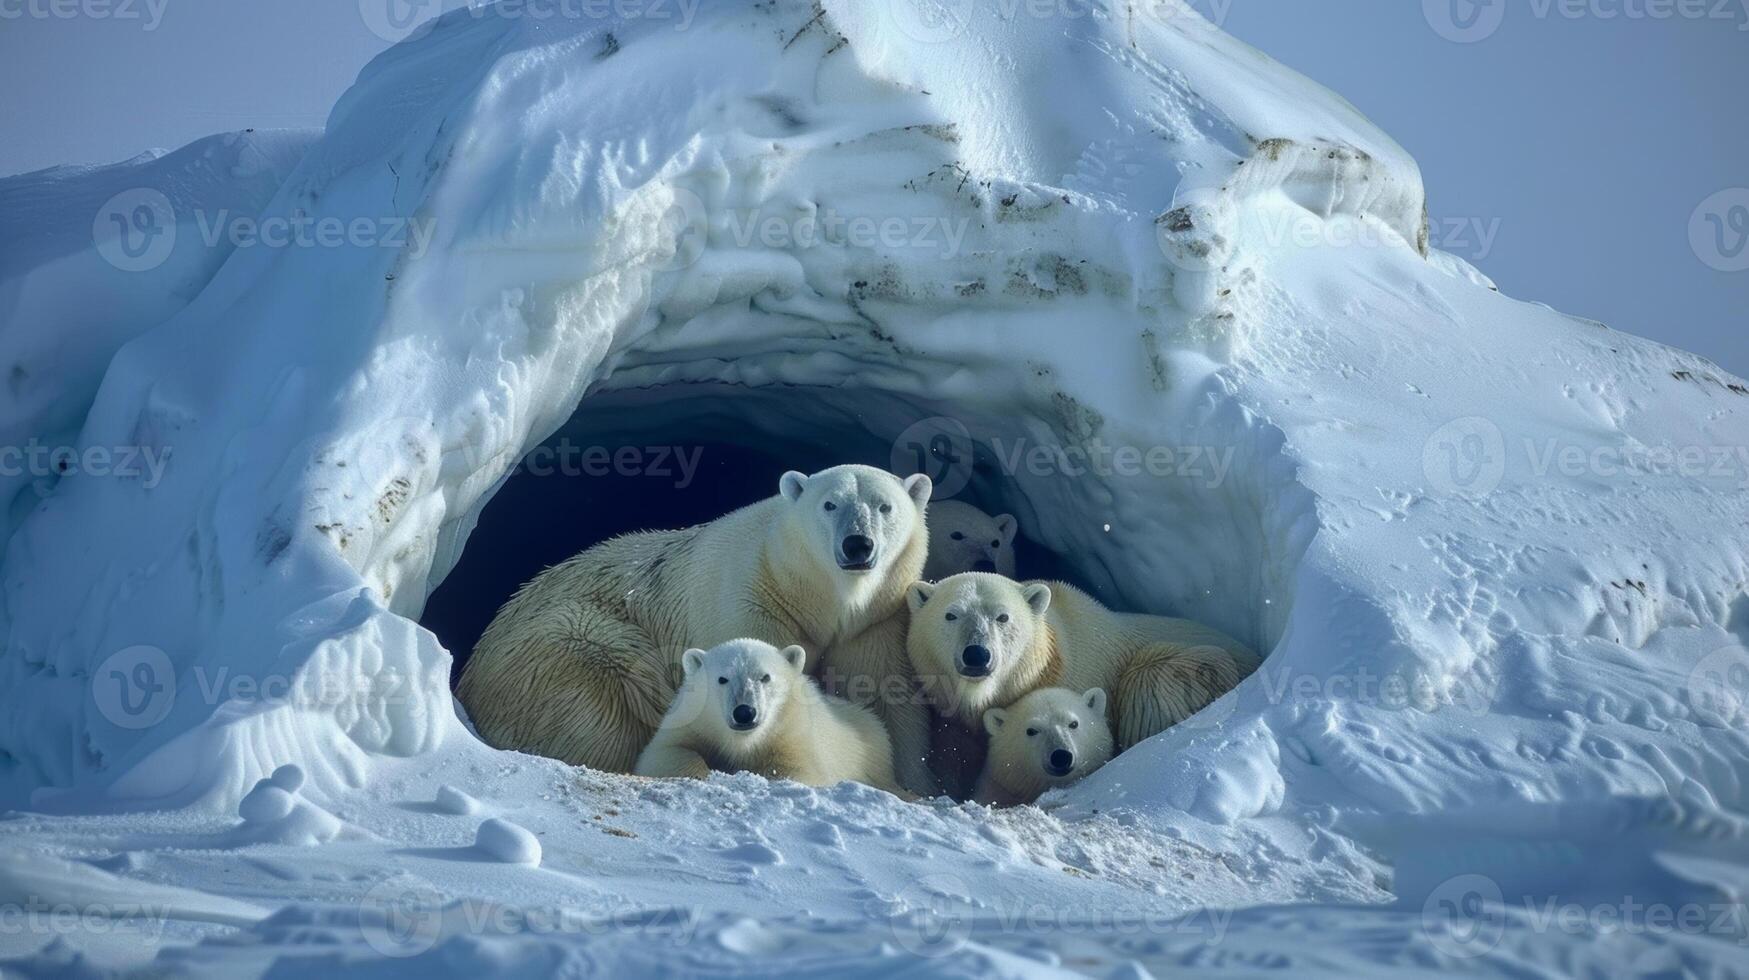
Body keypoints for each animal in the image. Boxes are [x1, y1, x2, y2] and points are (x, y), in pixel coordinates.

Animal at [633, 640, 902, 791]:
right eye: (722, 678)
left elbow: (801, 771)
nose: (744, 712)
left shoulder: (791, 732)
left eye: (765, 677)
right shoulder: (695, 721)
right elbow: (663, 753)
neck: (745, 742)